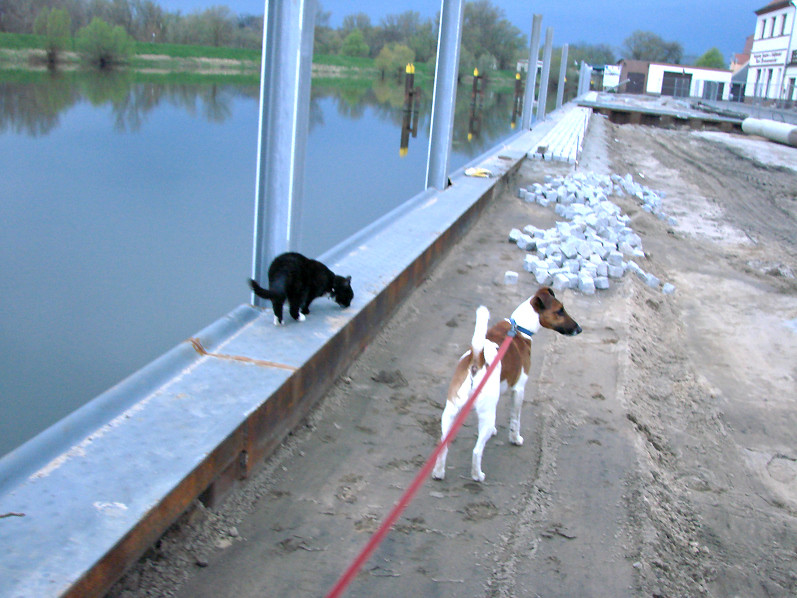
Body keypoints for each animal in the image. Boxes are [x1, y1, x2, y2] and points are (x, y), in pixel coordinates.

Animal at [432, 288, 580, 482]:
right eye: (560, 310)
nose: (579, 329)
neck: (519, 327)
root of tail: (476, 361)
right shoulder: (519, 390)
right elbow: (515, 419)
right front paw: (515, 438)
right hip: (485, 417)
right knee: (476, 451)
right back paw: (477, 475)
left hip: (450, 412)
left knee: (443, 444)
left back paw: (438, 472)